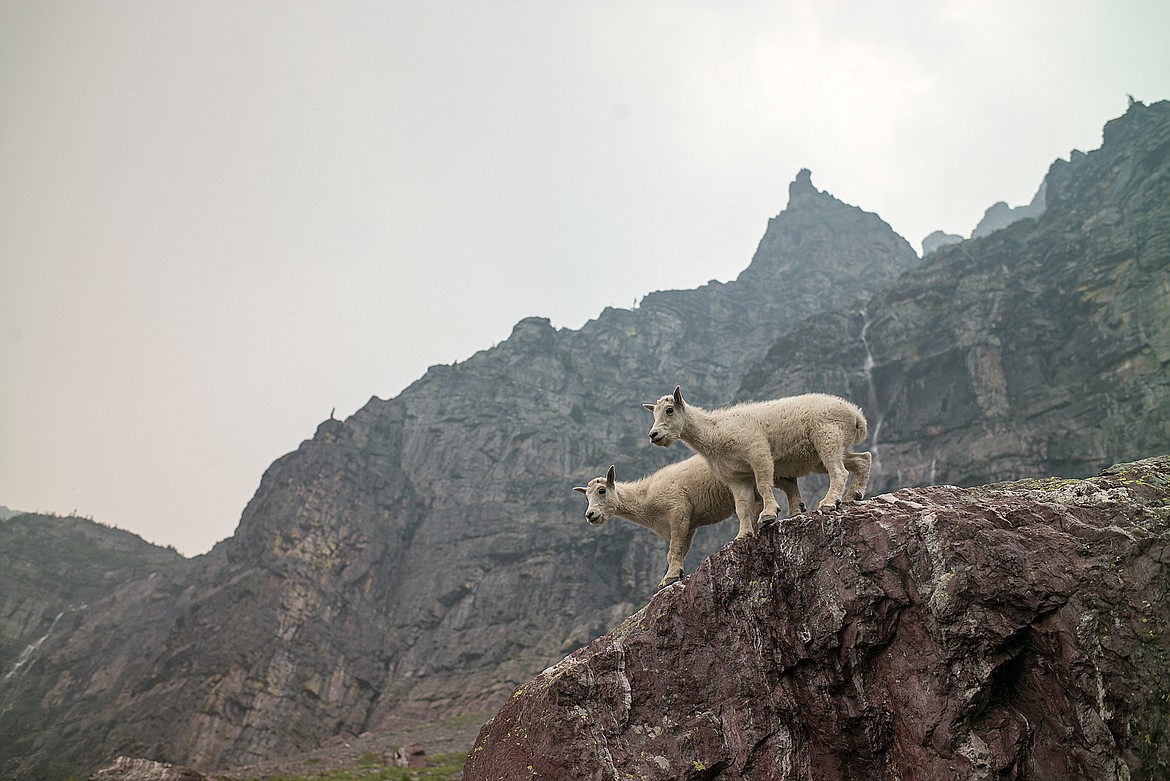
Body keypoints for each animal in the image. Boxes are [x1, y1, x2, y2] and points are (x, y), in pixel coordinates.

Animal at [573, 458, 804, 584]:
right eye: (586, 497)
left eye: (602, 491)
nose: (590, 515)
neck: (646, 496)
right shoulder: (689, 524)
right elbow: (680, 549)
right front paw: (673, 574)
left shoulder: (678, 510)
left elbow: (673, 548)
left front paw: (670, 577)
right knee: (788, 483)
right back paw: (796, 510)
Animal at [645, 383, 875, 537]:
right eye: (654, 414)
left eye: (669, 410)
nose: (653, 435)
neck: (716, 431)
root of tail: (856, 414)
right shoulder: (736, 477)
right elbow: (742, 506)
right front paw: (743, 534)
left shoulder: (758, 452)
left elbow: (764, 485)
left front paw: (769, 514)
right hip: (826, 452)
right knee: (862, 459)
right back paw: (853, 495)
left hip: (827, 436)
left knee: (840, 471)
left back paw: (830, 502)